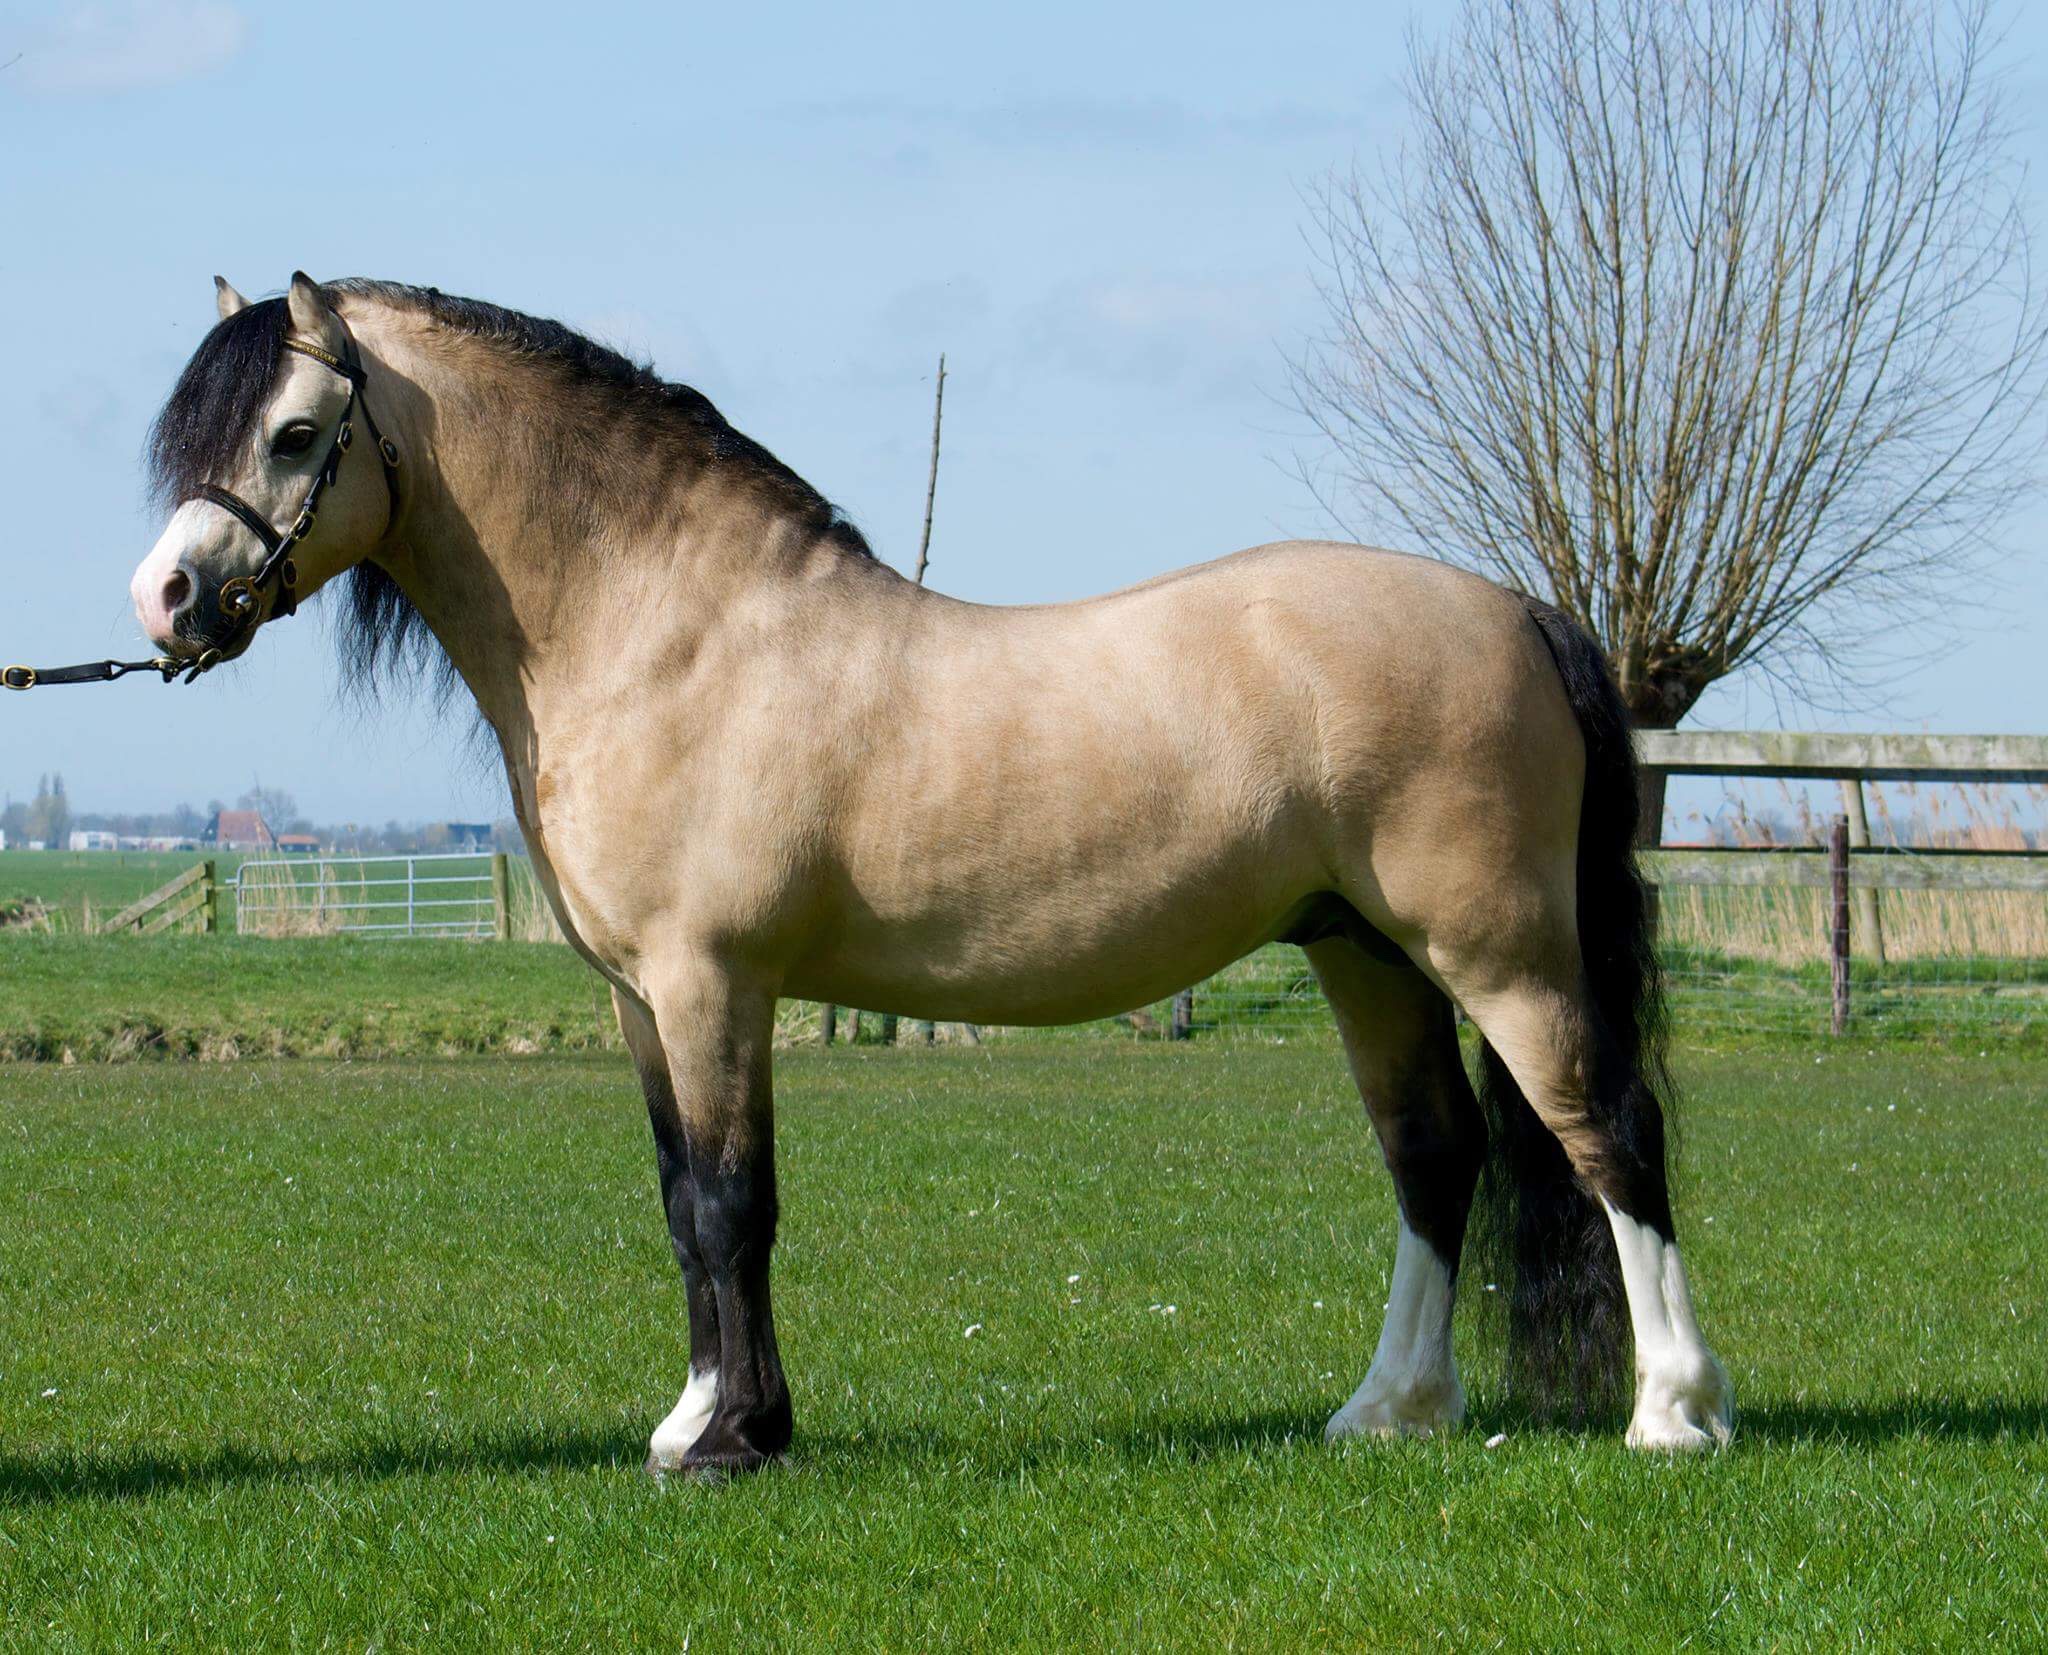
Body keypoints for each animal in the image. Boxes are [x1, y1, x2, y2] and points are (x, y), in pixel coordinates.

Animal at [123, 278, 1728, 1482]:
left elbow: (732, 1203)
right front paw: (706, 1421)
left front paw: (729, 1438)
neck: (667, 633)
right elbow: (683, 1200)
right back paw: (1389, 1410)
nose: (166, 599)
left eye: (295, 430)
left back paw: (1673, 1410)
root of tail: (1515, 609)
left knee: (1608, 1129)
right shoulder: (646, 999)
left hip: (1499, 949)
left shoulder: (713, 982)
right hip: (1362, 948)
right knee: (1434, 1154)